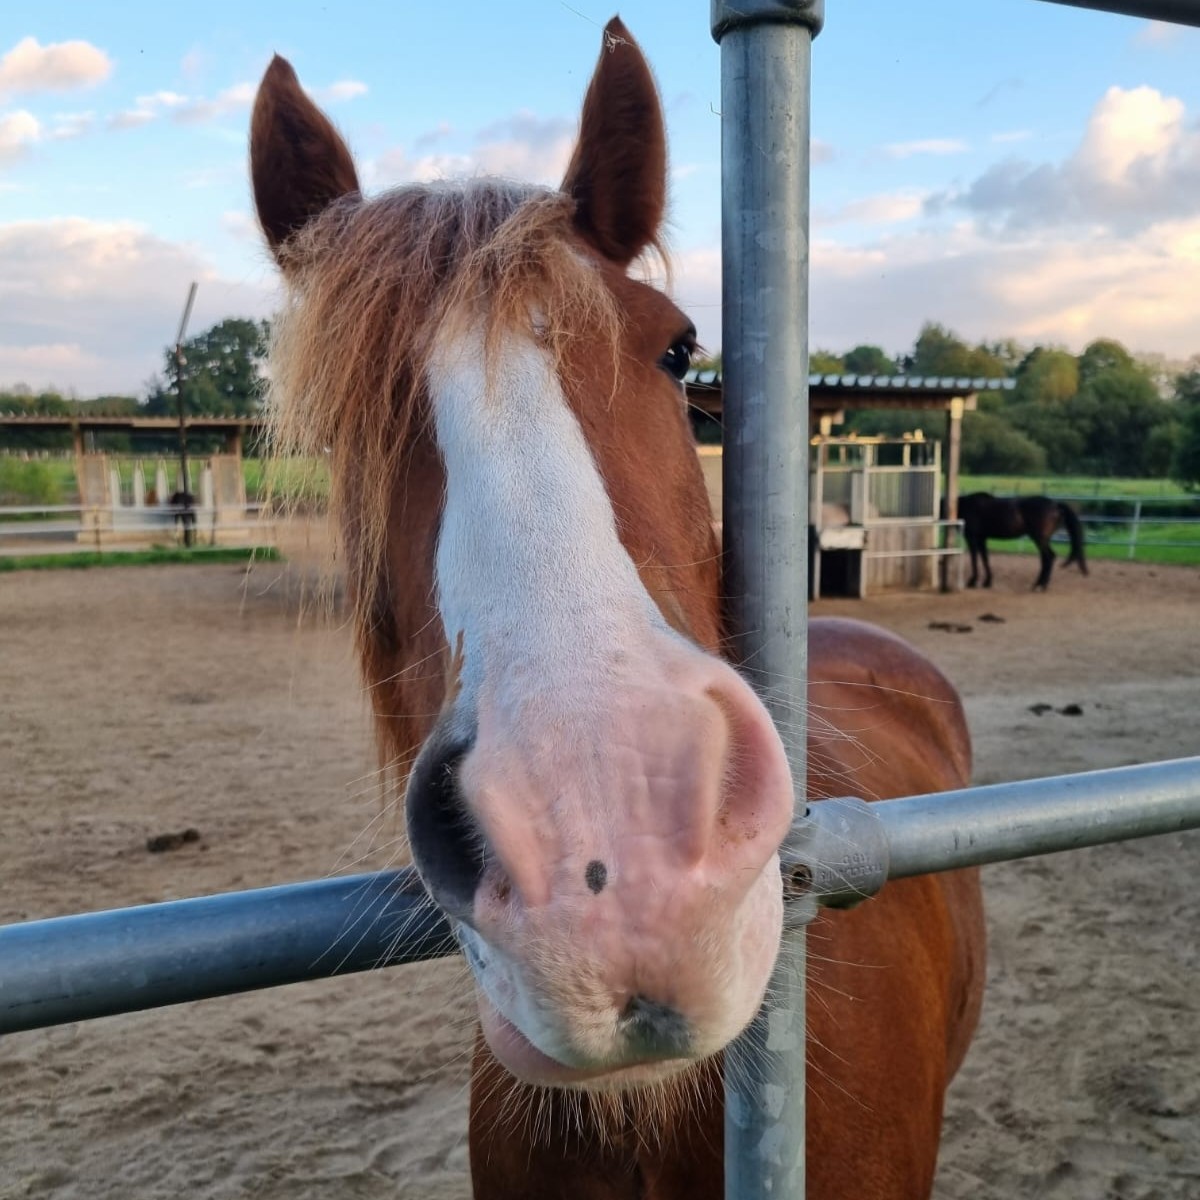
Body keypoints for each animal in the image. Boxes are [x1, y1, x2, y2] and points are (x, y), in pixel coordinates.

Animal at [958, 491, 1087, 591]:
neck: (966, 506)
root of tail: (1056, 505)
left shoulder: (972, 538)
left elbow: (974, 559)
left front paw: (972, 582)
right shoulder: (982, 539)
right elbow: (985, 559)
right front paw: (987, 582)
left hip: (1040, 539)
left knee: (1049, 557)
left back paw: (1041, 586)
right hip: (1042, 540)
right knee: (1046, 559)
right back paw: (1038, 584)